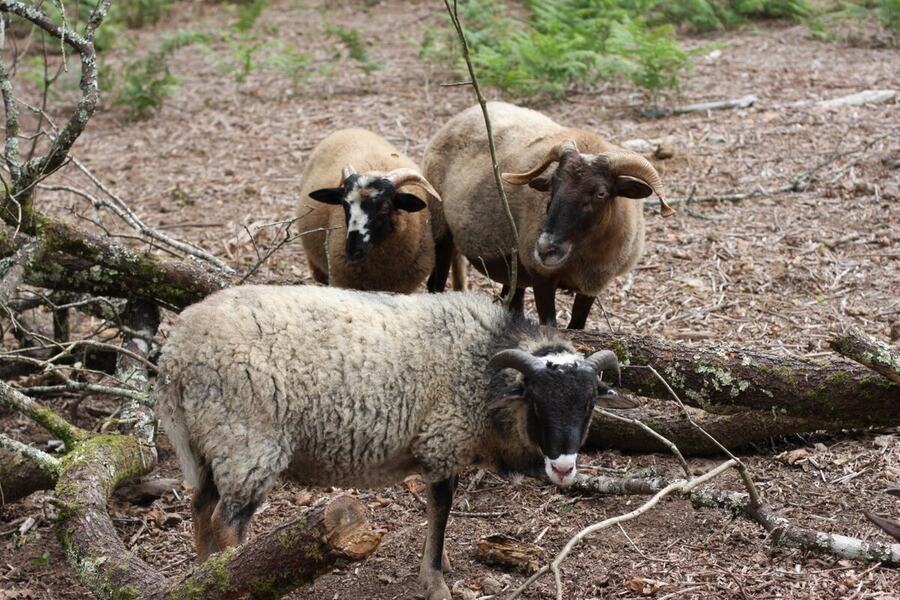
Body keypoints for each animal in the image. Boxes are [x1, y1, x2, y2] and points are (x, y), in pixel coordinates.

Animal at [154, 285, 631, 600]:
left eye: (590, 403)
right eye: (535, 400)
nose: (564, 467)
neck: (481, 360)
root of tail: (175, 354)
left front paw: (442, 564)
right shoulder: (442, 441)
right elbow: (441, 510)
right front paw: (435, 580)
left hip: (211, 441)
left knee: (200, 506)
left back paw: (206, 577)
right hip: (246, 442)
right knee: (227, 521)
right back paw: (239, 577)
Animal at [423, 102, 675, 328]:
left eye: (601, 193)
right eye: (552, 184)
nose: (545, 248)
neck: (583, 255)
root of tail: (464, 113)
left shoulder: (591, 288)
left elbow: (576, 327)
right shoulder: (541, 276)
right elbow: (550, 325)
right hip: (441, 230)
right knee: (435, 286)